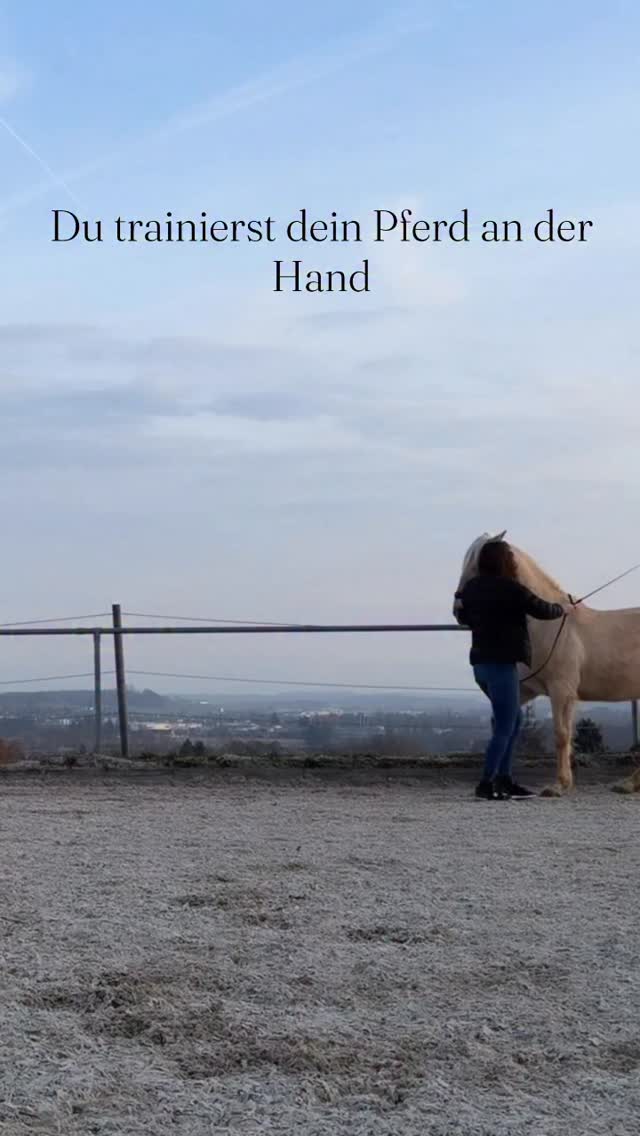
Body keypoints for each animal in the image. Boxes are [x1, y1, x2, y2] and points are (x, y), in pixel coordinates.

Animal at [453, 532, 640, 796]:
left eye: (476, 561)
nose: (458, 610)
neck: (553, 627)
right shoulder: (526, 690)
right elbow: (506, 727)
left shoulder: (562, 690)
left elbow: (561, 735)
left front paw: (559, 785)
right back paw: (629, 784)